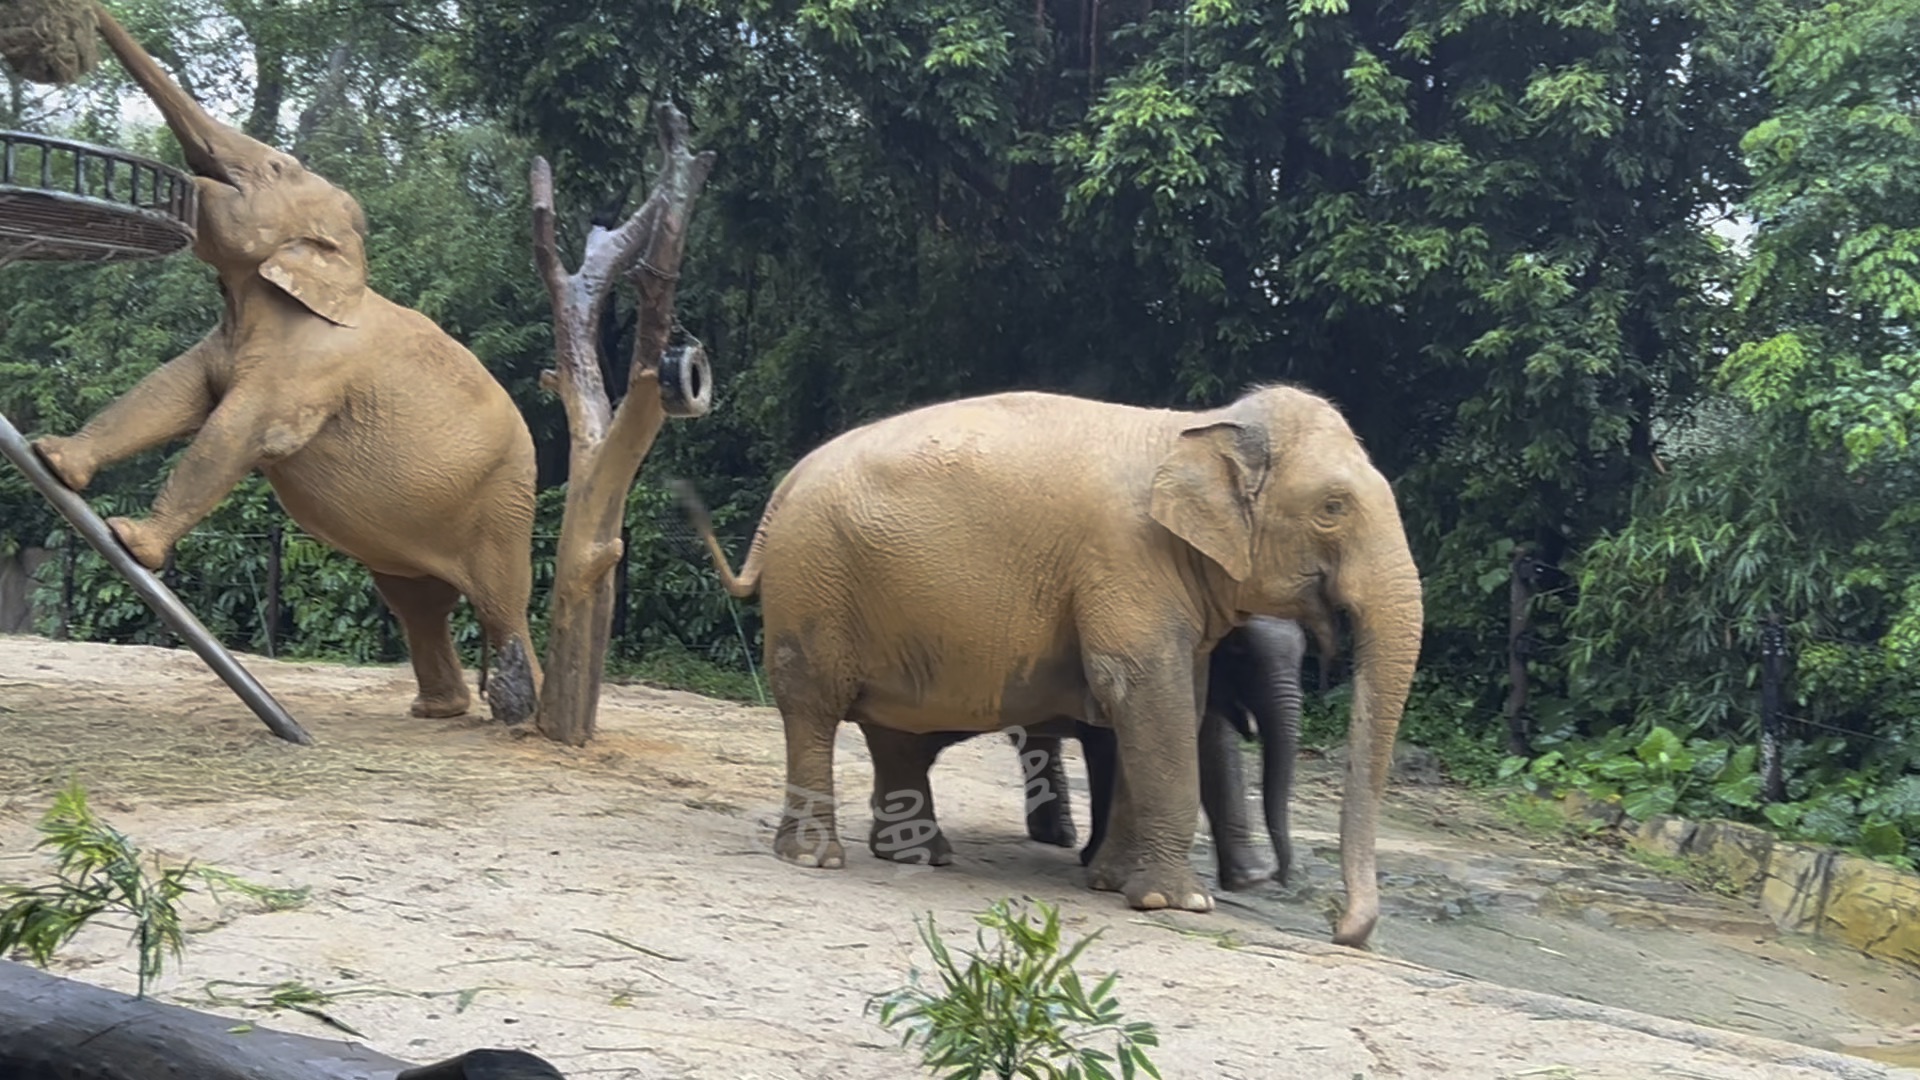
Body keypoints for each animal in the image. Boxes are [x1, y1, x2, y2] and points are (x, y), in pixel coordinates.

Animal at [30, 6, 541, 722]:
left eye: (272, 166)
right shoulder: (227, 336)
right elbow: (172, 393)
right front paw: (50, 457)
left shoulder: (313, 363)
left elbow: (235, 428)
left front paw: (130, 540)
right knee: (414, 599)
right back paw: (437, 712)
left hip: (505, 500)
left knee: (500, 602)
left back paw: (522, 717)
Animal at [683, 384, 1420, 941]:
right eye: (1333, 508)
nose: (1343, 927)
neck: (1194, 430)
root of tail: (785, 490)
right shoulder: (1128, 563)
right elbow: (1146, 695)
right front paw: (1179, 902)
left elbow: (1165, 706)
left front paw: (1113, 883)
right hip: (814, 583)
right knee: (813, 707)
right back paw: (817, 859)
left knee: (895, 731)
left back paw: (921, 856)